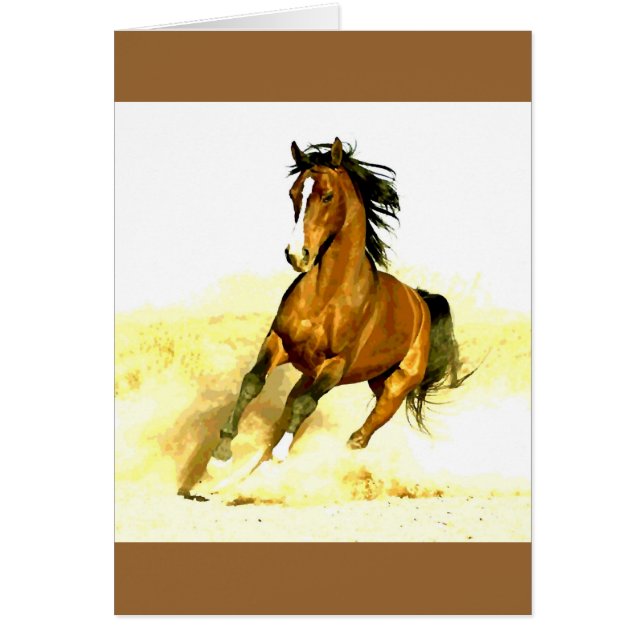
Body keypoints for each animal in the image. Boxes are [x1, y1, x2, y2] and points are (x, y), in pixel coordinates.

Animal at [180, 138, 471, 497]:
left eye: (327, 196)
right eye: (293, 193)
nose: (297, 255)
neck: (327, 295)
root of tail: (420, 301)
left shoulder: (335, 365)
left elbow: (305, 408)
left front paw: (277, 459)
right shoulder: (279, 342)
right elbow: (252, 383)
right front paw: (220, 458)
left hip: (393, 388)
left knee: (357, 437)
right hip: (316, 374)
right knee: (287, 417)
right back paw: (228, 484)